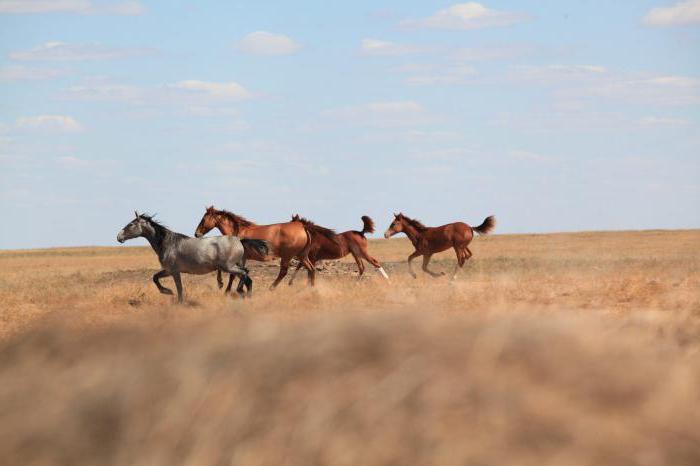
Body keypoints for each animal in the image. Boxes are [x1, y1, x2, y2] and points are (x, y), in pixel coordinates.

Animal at [116, 211, 266, 302]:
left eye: (131, 224)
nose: (119, 237)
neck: (168, 243)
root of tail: (239, 240)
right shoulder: (168, 271)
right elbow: (155, 277)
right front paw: (167, 291)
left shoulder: (174, 272)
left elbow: (179, 289)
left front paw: (173, 296)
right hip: (234, 267)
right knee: (248, 279)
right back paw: (246, 296)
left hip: (229, 267)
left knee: (245, 274)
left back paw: (239, 291)